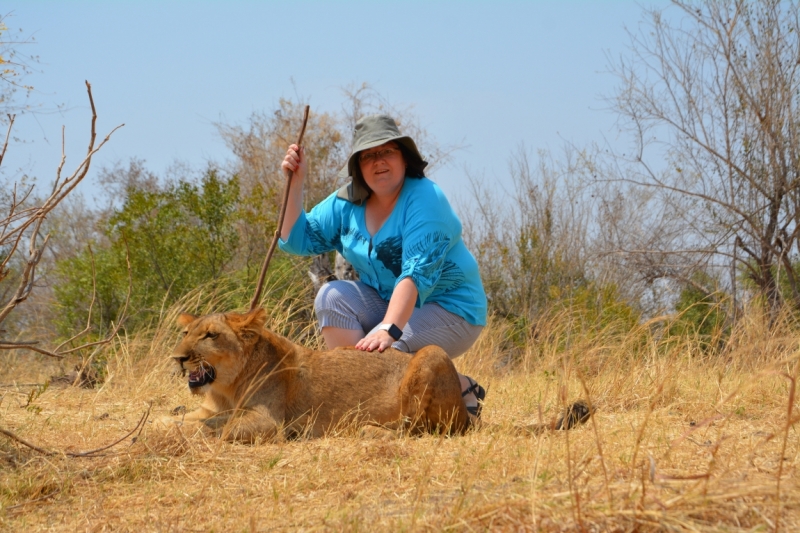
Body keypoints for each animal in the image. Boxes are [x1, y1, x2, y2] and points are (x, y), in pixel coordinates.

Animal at [162, 308, 592, 440]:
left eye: (210, 335)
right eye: (186, 333)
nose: (178, 358)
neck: (227, 387)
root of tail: (468, 412)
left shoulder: (269, 423)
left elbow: (214, 428)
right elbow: (183, 417)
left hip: (430, 357)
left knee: (423, 428)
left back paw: (369, 429)